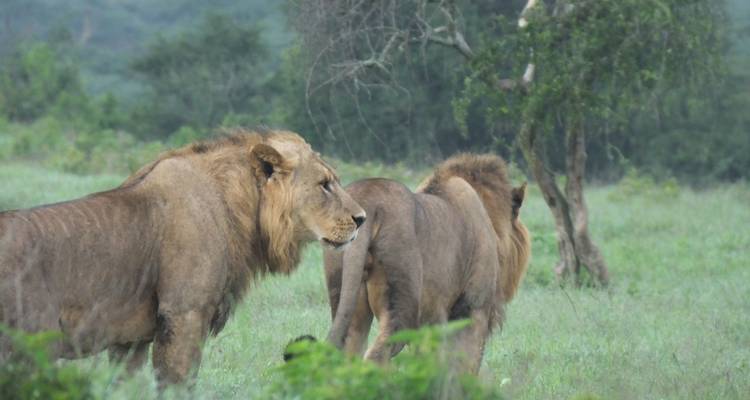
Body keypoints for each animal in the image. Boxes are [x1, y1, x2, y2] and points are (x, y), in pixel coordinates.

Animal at [0, 128, 366, 385]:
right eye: (325, 185)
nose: (361, 218)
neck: (242, 207)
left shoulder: (130, 339)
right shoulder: (184, 313)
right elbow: (178, 384)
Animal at [322, 153, 530, 372]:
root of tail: (370, 200)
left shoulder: (430, 322)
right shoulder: (473, 308)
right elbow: (464, 364)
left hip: (346, 300)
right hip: (403, 305)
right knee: (378, 355)